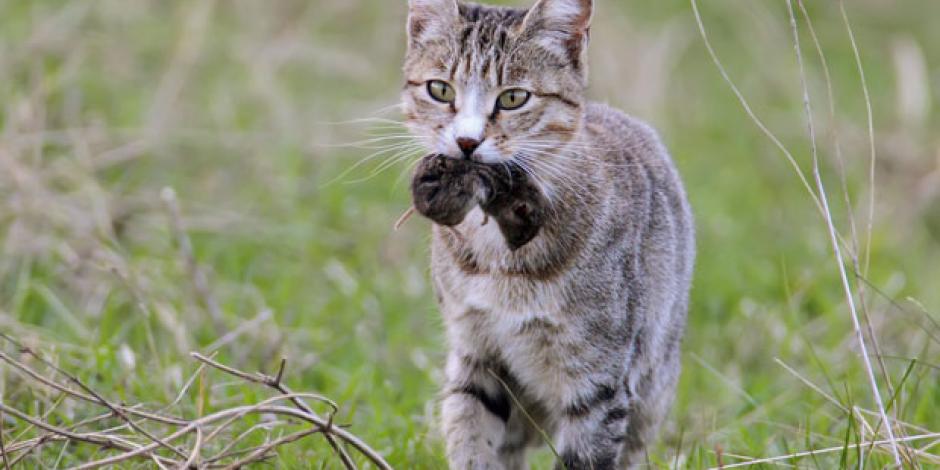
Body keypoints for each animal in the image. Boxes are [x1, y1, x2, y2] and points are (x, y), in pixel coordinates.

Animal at [400, 0, 692, 466]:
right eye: (440, 89)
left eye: (513, 97)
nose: (467, 143)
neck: (499, 257)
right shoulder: (474, 355)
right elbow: (471, 442)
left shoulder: (598, 381)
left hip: (650, 393)